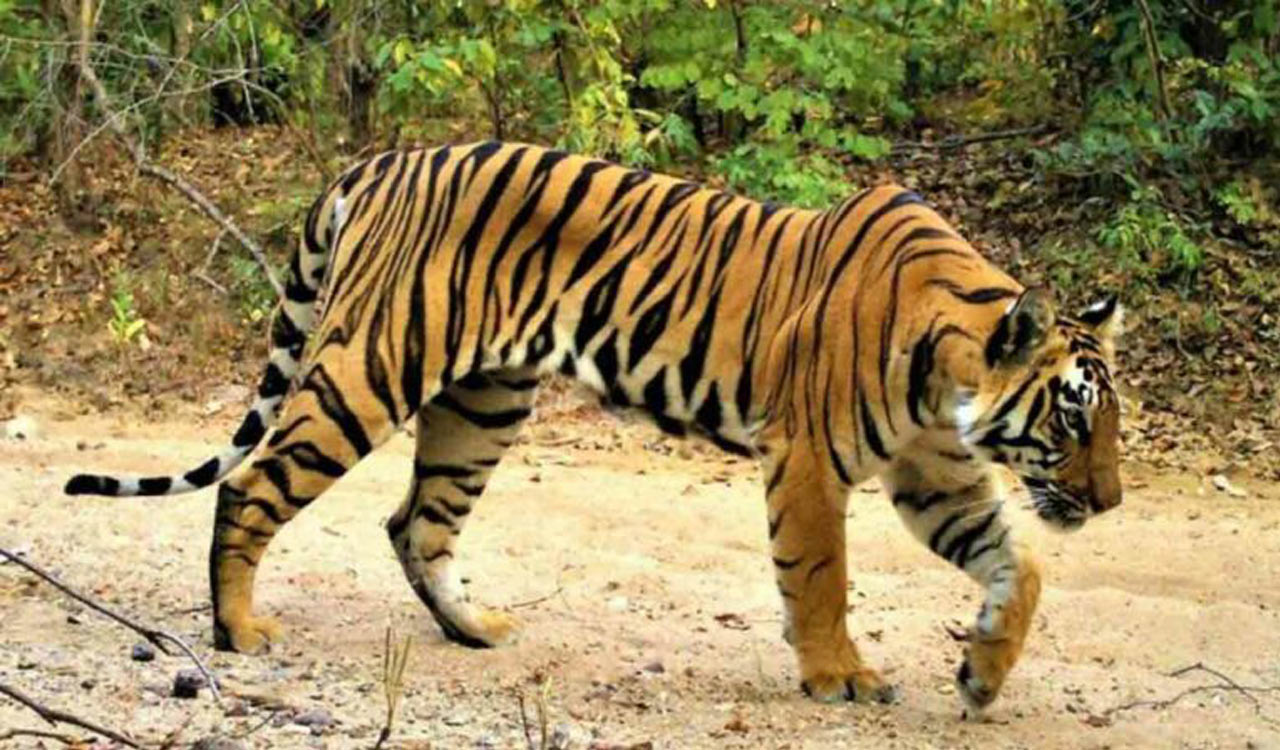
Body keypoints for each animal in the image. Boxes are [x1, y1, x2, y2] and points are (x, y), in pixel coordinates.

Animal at [65, 141, 1123, 715]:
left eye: (1110, 423)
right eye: (1072, 417)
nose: (1110, 502)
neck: (951, 379)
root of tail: (383, 158)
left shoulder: (935, 472)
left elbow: (1020, 567)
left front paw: (982, 672)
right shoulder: (810, 460)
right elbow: (821, 576)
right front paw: (839, 677)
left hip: (484, 401)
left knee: (416, 523)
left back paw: (475, 630)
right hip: (368, 368)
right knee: (255, 483)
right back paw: (239, 629)